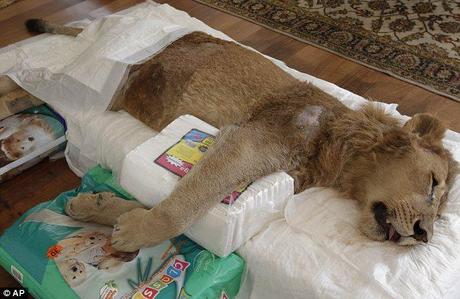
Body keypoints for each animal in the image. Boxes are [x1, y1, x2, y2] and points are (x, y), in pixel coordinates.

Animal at [19, 19, 458, 252]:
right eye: (432, 185)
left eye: (441, 214)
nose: (423, 236)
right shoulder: (247, 141)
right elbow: (180, 209)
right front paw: (135, 233)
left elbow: (172, 198)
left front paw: (98, 208)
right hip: (112, 77)